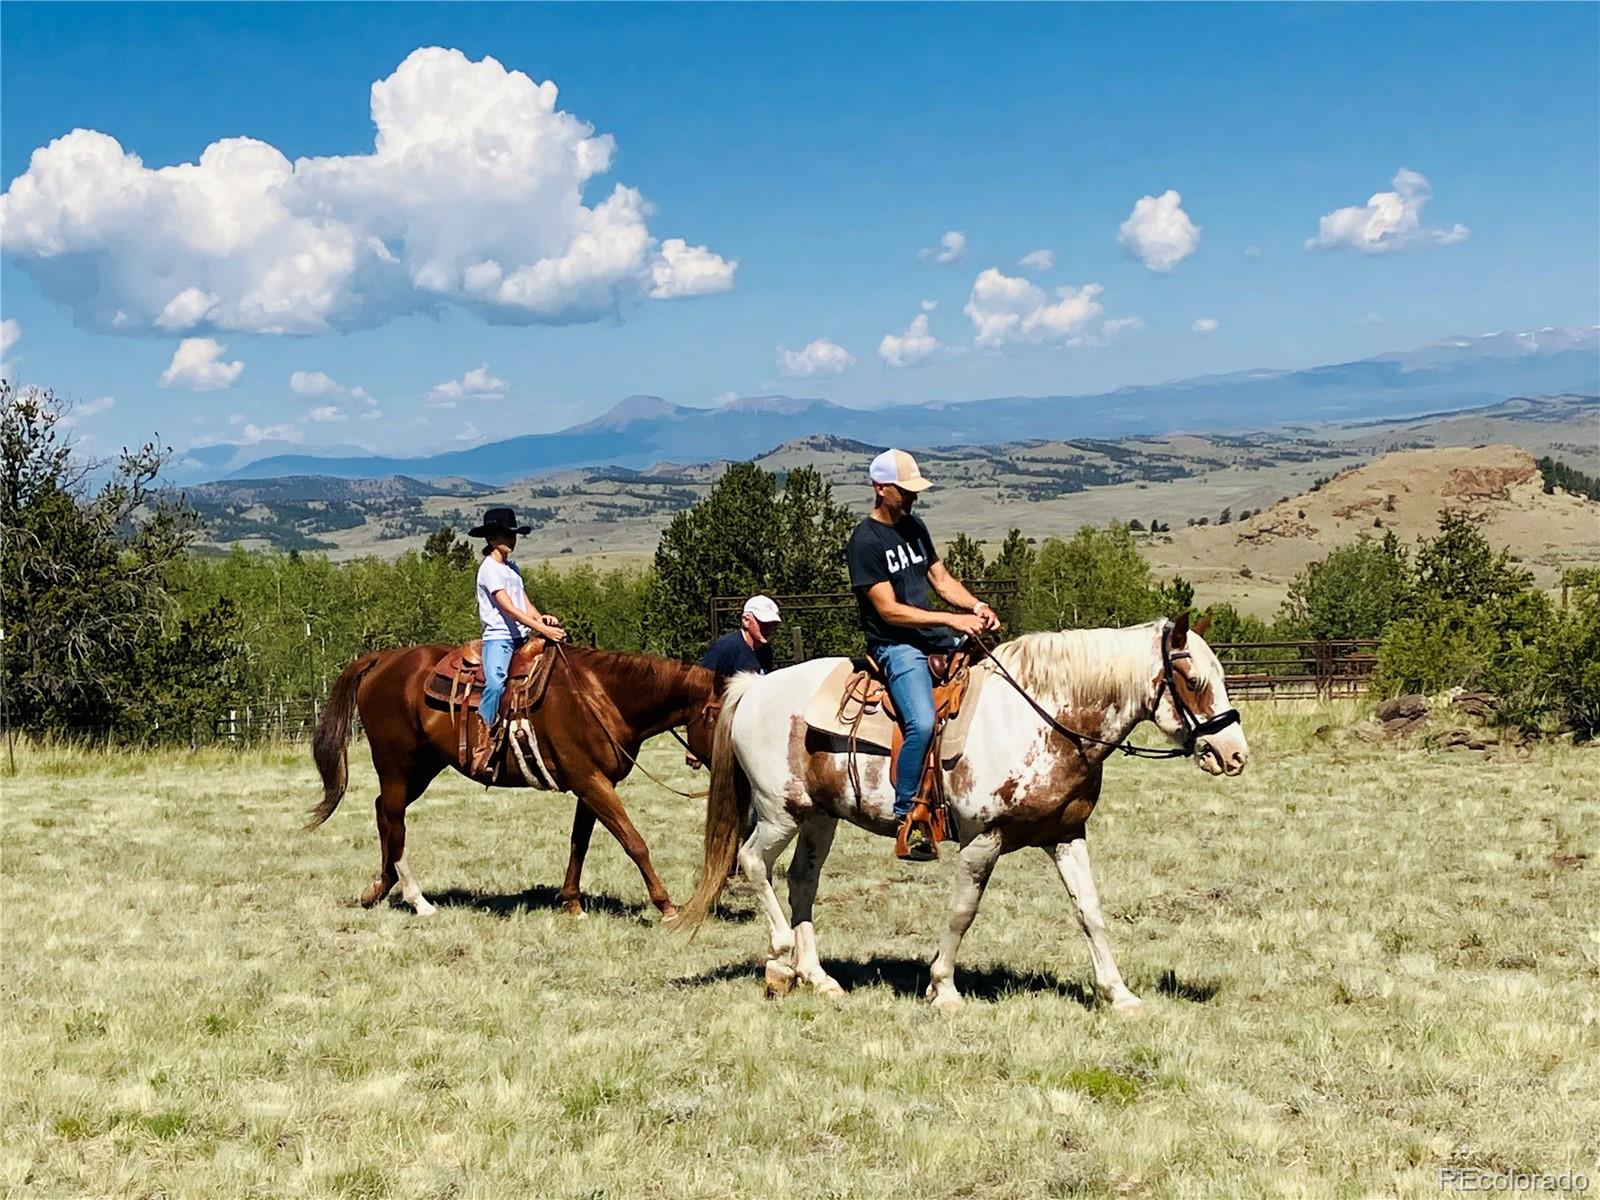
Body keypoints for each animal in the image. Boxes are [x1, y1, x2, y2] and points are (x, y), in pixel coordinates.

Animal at [307, 649, 720, 921]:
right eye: (720, 712)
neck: (600, 696)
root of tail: (382, 660)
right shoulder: (591, 782)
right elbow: (634, 842)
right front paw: (667, 906)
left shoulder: (592, 784)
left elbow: (579, 843)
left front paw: (572, 902)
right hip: (396, 764)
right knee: (394, 819)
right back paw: (417, 900)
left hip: (423, 766)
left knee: (384, 814)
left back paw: (379, 889)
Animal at [675, 614, 1248, 1011]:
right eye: (1192, 679)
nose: (1234, 753)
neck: (1041, 719)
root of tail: (754, 687)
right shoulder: (983, 839)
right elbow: (962, 912)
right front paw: (944, 989)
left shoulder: (1066, 834)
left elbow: (1090, 912)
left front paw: (1119, 994)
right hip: (780, 811)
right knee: (753, 863)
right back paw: (778, 963)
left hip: (820, 816)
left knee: (801, 882)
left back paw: (818, 976)